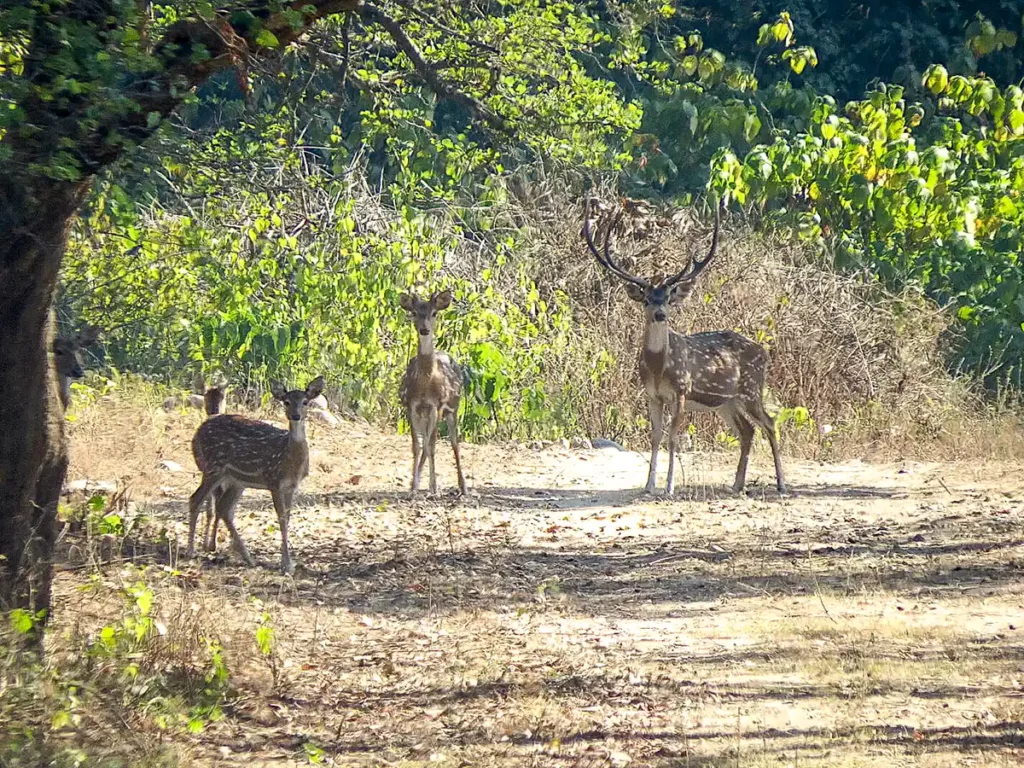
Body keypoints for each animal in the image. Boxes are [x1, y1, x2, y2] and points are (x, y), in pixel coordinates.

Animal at [186, 376, 323, 573]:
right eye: (286, 402)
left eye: (305, 402)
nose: (296, 416)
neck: (287, 460)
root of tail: (201, 428)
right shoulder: (273, 480)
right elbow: (281, 520)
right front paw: (287, 564)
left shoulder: (291, 487)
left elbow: (287, 519)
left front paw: (287, 562)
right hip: (214, 467)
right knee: (196, 499)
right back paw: (190, 551)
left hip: (235, 479)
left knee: (223, 508)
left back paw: (248, 558)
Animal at [399, 290, 468, 495]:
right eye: (414, 312)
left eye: (434, 313)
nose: (424, 330)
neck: (424, 384)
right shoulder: (411, 405)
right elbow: (416, 446)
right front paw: (414, 487)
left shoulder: (436, 405)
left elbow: (432, 446)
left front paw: (434, 487)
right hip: (425, 415)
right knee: (426, 443)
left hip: (453, 409)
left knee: (453, 443)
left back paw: (463, 486)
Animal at [585, 201, 782, 495]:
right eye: (646, 299)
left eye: (668, 297)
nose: (660, 314)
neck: (659, 368)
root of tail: (764, 352)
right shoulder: (652, 394)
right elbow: (655, 437)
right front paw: (648, 486)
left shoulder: (680, 390)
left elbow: (673, 438)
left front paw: (668, 487)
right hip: (726, 402)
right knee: (747, 431)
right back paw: (736, 485)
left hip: (751, 389)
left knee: (769, 423)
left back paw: (781, 483)